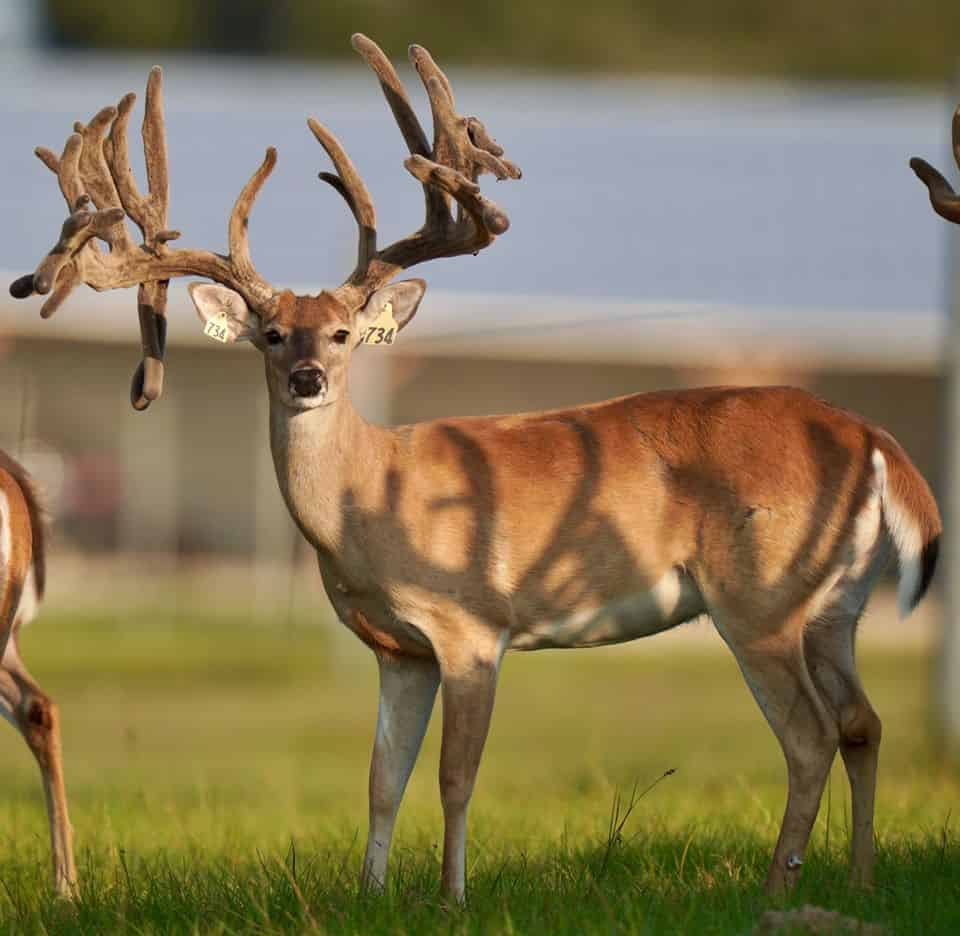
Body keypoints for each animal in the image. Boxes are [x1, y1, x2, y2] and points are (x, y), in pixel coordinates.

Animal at [8, 34, 941, 902]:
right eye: (272, 335)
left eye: (342, 334)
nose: (308, 379)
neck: (370, 500)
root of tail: (875, 440)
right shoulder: (399, 650)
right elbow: (381, 781)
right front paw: (371, 894)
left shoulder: (471, 627)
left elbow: (455, 778)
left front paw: (452, 896)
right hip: (835, 606)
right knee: (862, 722)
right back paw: (859, 882)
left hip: (759, 598)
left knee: (809, 736)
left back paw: (778, 889)